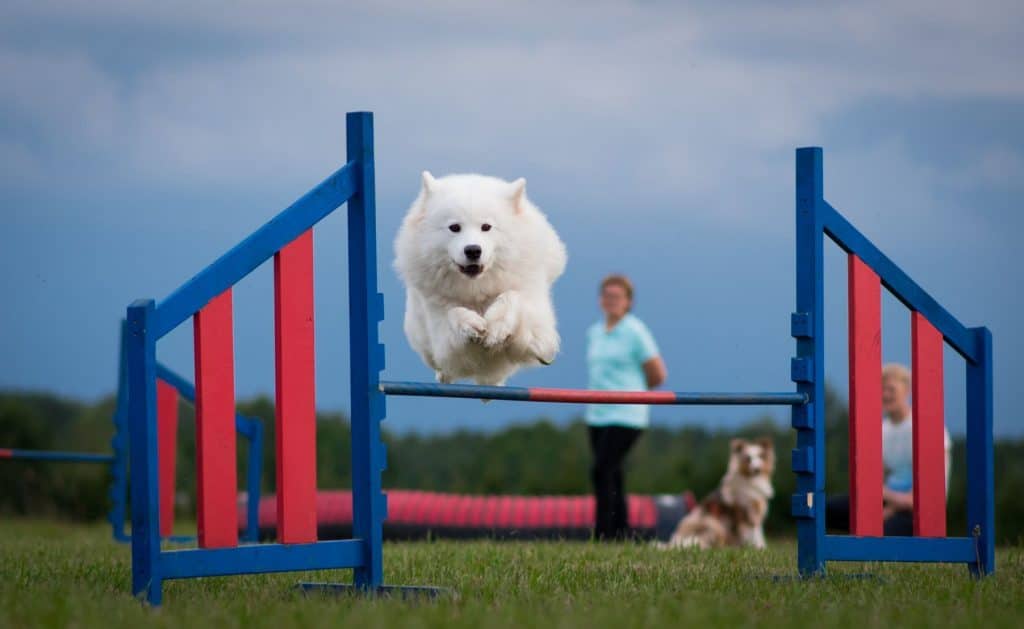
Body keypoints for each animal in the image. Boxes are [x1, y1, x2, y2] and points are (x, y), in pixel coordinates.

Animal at [391, 174, 569, 389]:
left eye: (486, 227)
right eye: (454, 228)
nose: (473, 250)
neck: (477, 289)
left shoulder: (540, 337)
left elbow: (512, 296)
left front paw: (498, 327)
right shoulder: (445, 343)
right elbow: (453, 312)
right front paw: (471, 324)